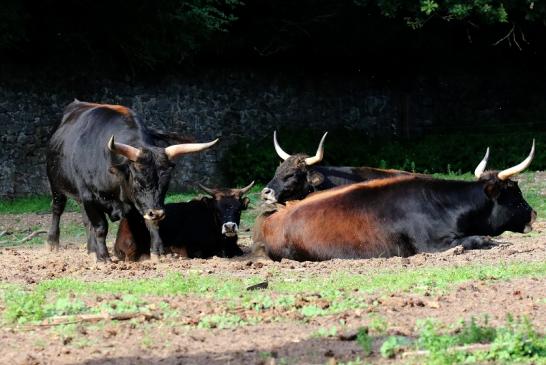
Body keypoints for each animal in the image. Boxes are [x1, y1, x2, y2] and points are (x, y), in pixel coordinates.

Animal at [46, 98, 217, 260]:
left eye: (166, 182)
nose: (157, 213)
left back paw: (91, 249)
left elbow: (149, 224)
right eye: (138, 181)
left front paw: (156, 251)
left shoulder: (142, 205)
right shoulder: (89, 196)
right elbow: (100, 227)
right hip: (56, 184)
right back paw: (52, 243)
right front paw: (103, 257)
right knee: (57, 209)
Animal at [254, 141, 536, 260]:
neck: (444, 204)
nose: (533, 213)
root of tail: (269, 221)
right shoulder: (431, 245)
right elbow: (481, 239)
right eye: (515, 193)